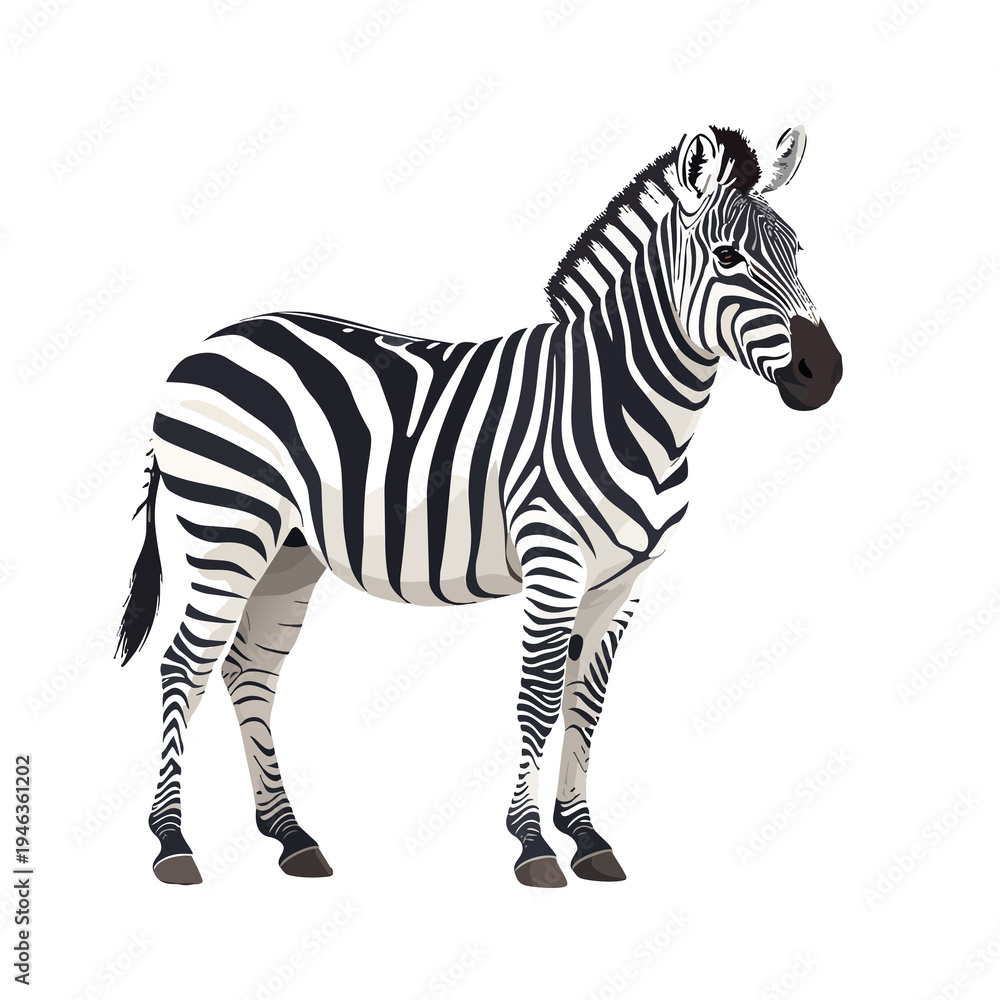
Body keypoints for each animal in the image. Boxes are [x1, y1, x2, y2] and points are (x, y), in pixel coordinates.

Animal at [117, 123, 842, 888]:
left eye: (797, 252)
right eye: (728, 258)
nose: (824, 373)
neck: (625, 402)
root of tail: (206, 344)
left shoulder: (625, 579)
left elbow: (587, 703)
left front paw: (585, 834)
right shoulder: (554, 560)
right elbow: (540, 695)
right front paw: (532, 843)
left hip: (287, 552)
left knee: (249, 671)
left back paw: (290, 835)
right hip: (225, 529)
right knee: (183, 666)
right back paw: (173, 843)